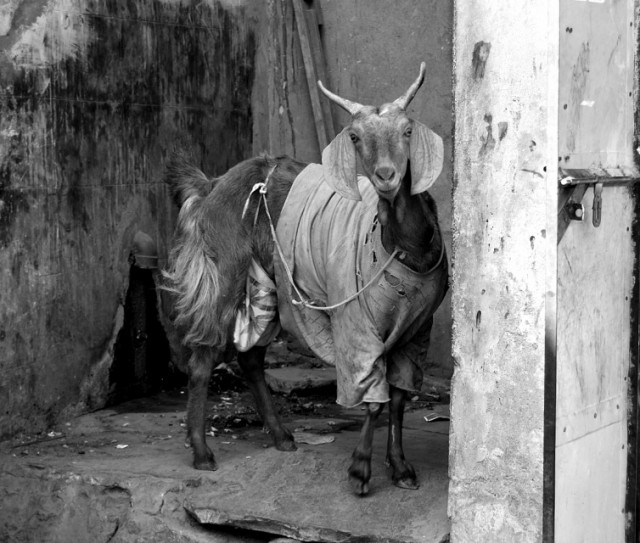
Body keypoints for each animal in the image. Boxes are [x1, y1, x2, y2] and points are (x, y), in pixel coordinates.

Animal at [163, 63, 448, 495]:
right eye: (355, 136)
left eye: (407, 129)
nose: (386, 176)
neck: (402, 247)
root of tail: (211, 186)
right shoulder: (356, 325)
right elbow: (373, 397)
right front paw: (360, 471)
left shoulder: (418, 329)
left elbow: (400, 397)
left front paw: (400, 468)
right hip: (225, 269)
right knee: (203, 357)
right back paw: (201, 452)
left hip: (269, 281)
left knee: (250, 357)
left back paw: (281, 436)